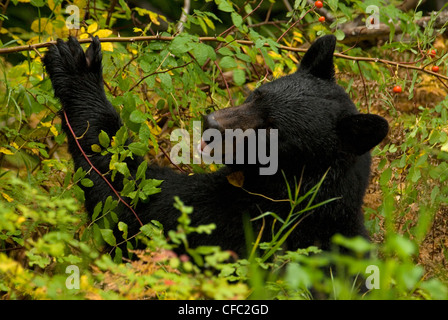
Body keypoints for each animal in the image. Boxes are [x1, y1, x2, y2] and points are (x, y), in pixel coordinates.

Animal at [44, 35, 388, 256]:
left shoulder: (228, 218)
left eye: (273, 129)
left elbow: (129, 197)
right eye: (257, 94)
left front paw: (77, 67)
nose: (211, 124)